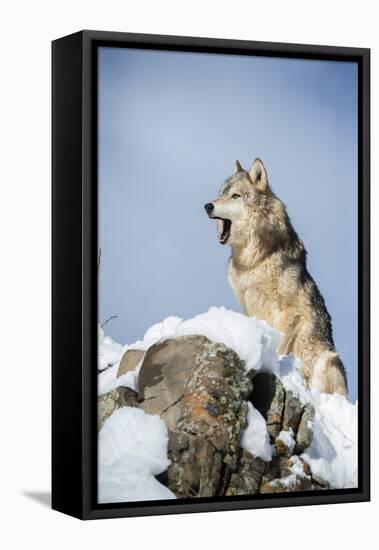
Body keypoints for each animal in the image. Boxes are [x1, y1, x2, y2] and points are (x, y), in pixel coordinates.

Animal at [206, 158, 348, 396]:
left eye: (235, 196)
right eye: (220, 193)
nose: (208, 206)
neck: (253, 261)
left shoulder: (290, 311)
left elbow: (280, 342)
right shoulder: (248, 306)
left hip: (328, 361)